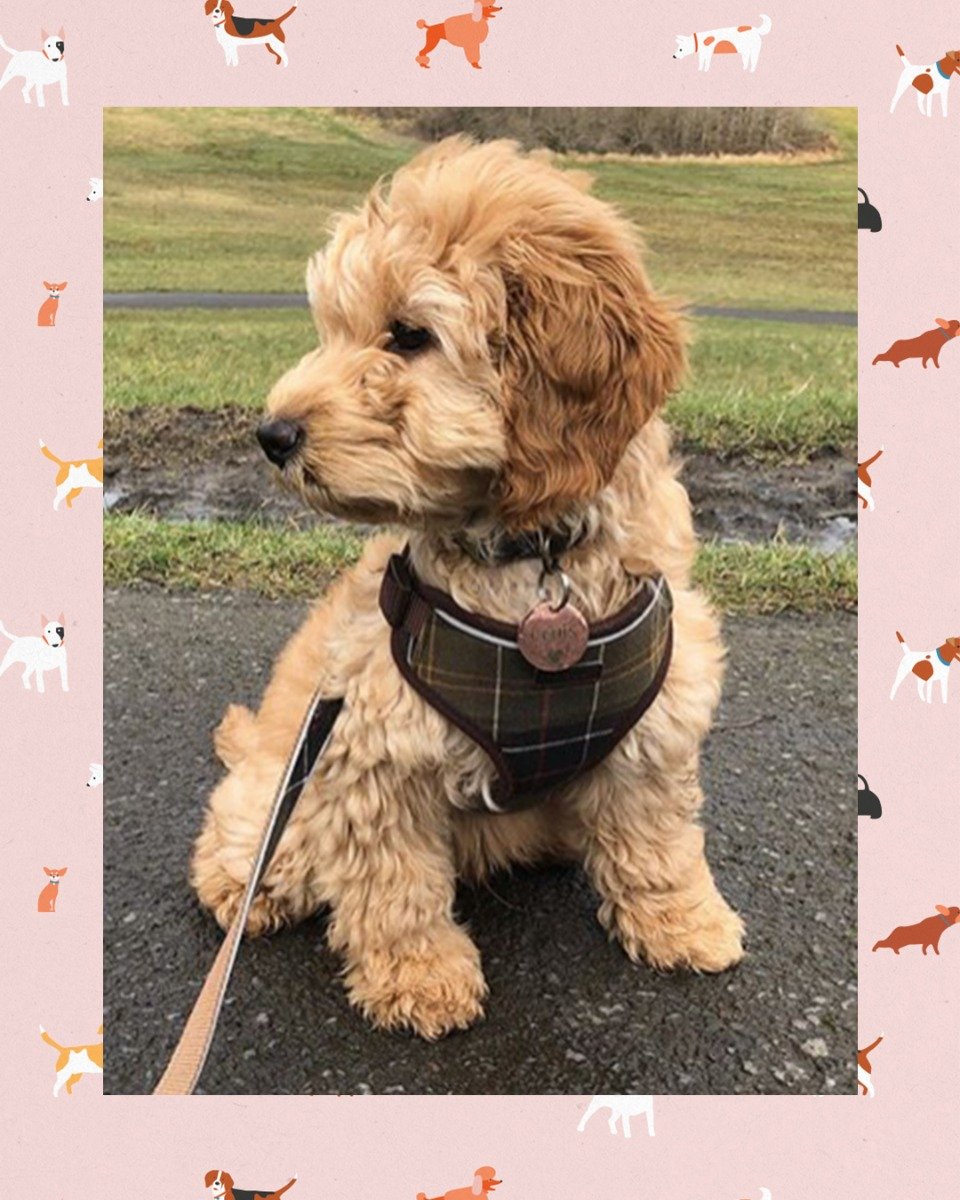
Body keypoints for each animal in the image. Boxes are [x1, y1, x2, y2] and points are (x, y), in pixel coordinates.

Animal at [190, 138, 744, 1041]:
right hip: (290, 787)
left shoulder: (657, 723)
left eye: (410, 334)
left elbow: (658, 836)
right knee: (250, 835)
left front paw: (682, 921)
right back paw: (247, 887)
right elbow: (394, 887)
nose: (272, 434)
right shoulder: (371, 742)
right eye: (332, 329)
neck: (531, 560)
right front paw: (421, 977)